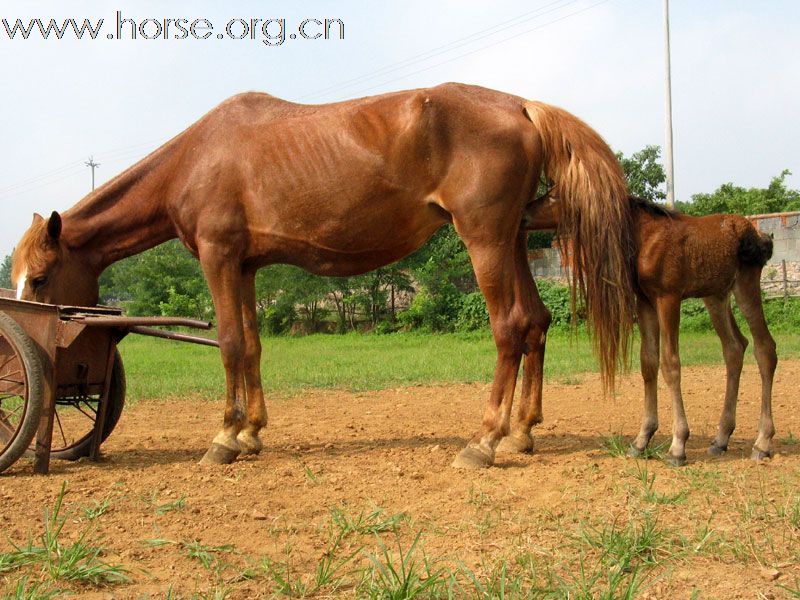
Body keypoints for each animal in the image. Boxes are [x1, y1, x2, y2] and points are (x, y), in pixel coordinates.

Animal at [10, 84, 636, 468]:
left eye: (39, 278)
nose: (27, 318)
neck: (197, 158)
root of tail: (523, 107)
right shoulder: (245, 265)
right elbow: (253, 344)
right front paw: (252, 432)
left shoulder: (218, 257)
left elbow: (229, 343)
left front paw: (223, 438)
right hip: (512, 240)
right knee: (535, 322)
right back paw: (523, 432)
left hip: (484, 240)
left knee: (509, 328)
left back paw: (483, 441)